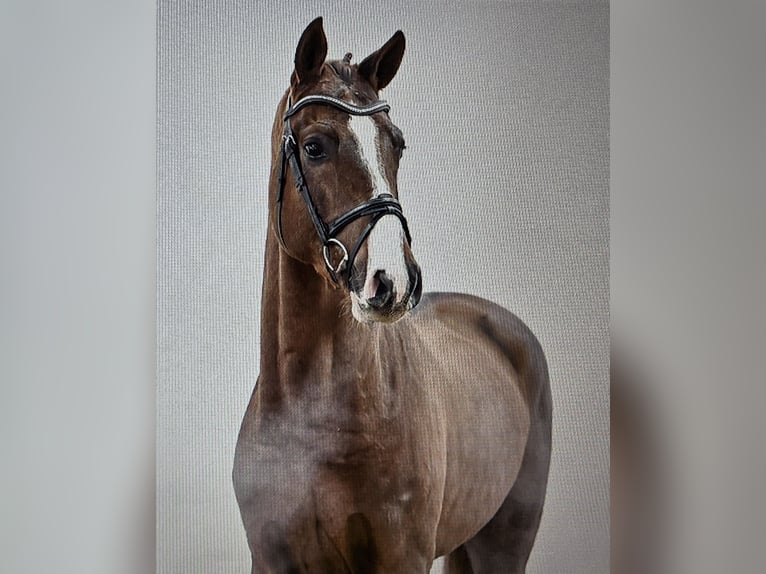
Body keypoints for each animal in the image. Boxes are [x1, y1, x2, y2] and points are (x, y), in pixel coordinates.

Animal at [233, 17, 552, 574]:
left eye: (397, 144)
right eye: (314, 146)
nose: (392, 281)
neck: (313, 422)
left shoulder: (403, 557)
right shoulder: (270, 559)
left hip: (506, 537)